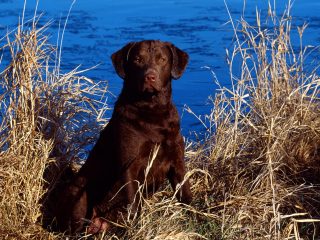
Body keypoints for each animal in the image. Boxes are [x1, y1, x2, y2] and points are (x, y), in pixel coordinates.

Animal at [56, 40, 191, 233]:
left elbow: (185, 194)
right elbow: (133, 203)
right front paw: (135, 229)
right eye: (137, 59)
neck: (152, 111)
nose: (149, 77)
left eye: (162, 59)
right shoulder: (129, 164)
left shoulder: (177, 160)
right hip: (78, 191)